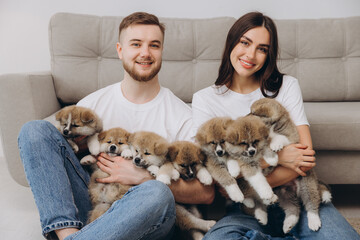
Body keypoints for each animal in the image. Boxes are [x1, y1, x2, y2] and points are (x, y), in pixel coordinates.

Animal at [250, 97, 332, 232]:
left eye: (252, 113)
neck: (271, 127)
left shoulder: (292, 138)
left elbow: (280, 138)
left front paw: (275, 145)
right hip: (283, 194)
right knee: (293, 209)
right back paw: (274, 218)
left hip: (306, 184)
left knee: (311, 203)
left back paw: (314, 221)